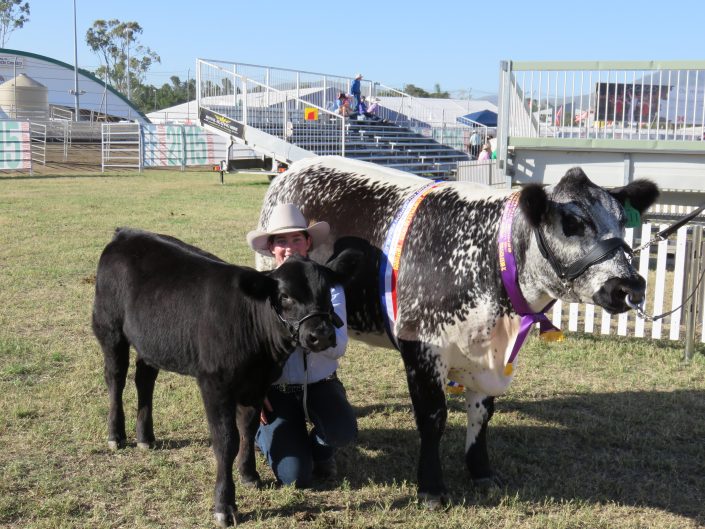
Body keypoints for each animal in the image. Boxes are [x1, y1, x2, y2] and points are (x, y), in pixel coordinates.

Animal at [254, 155, 660, 506]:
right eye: (571, 224)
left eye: (622, 221)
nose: (630, 286)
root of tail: (298, 167)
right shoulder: (421, 348)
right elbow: (433, 419)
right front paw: (431, 488)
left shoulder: (488, 358)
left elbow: (482, 414)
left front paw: (481, 472)